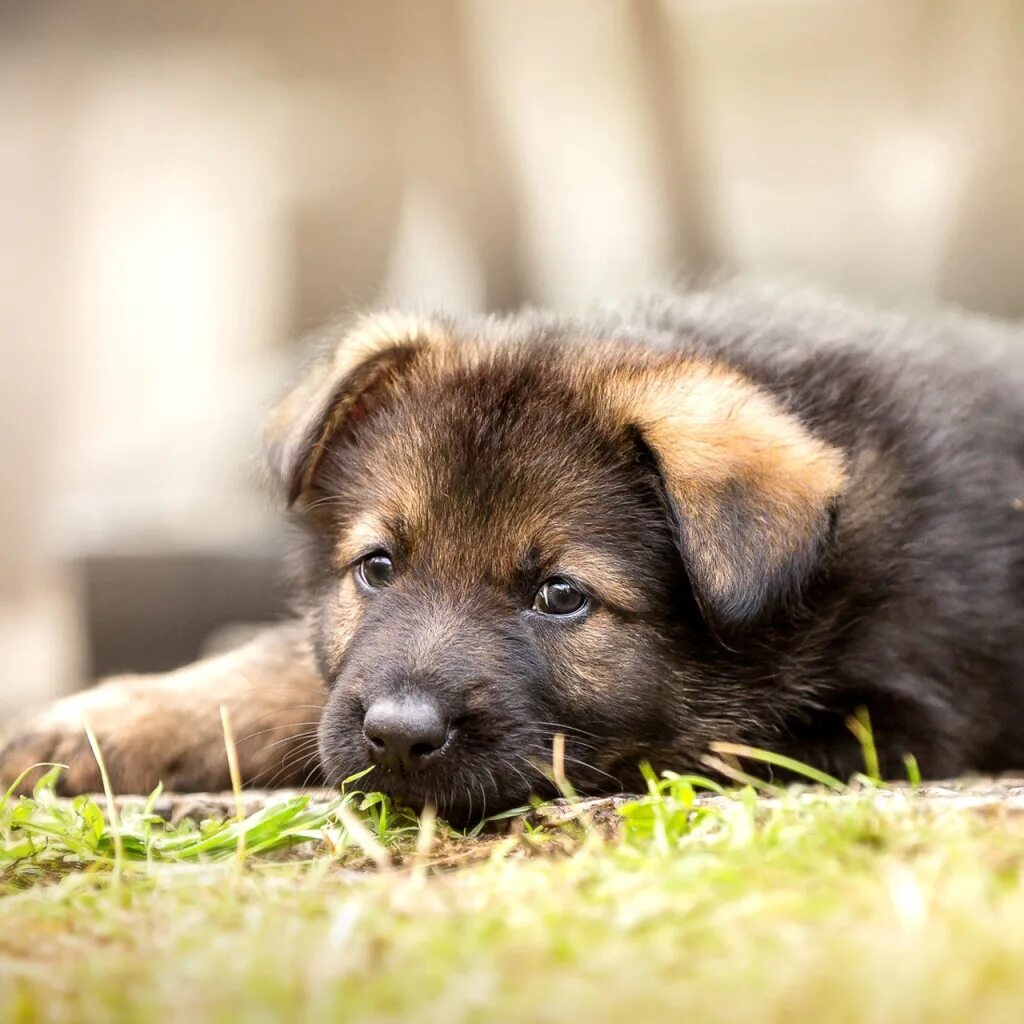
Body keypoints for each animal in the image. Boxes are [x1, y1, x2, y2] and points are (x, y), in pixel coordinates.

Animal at [2, 282, 1024, 823]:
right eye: (378, 568)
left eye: (561, 597)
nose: (399, 735)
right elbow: (285, 671)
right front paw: (94, 726)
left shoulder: (882, 719)